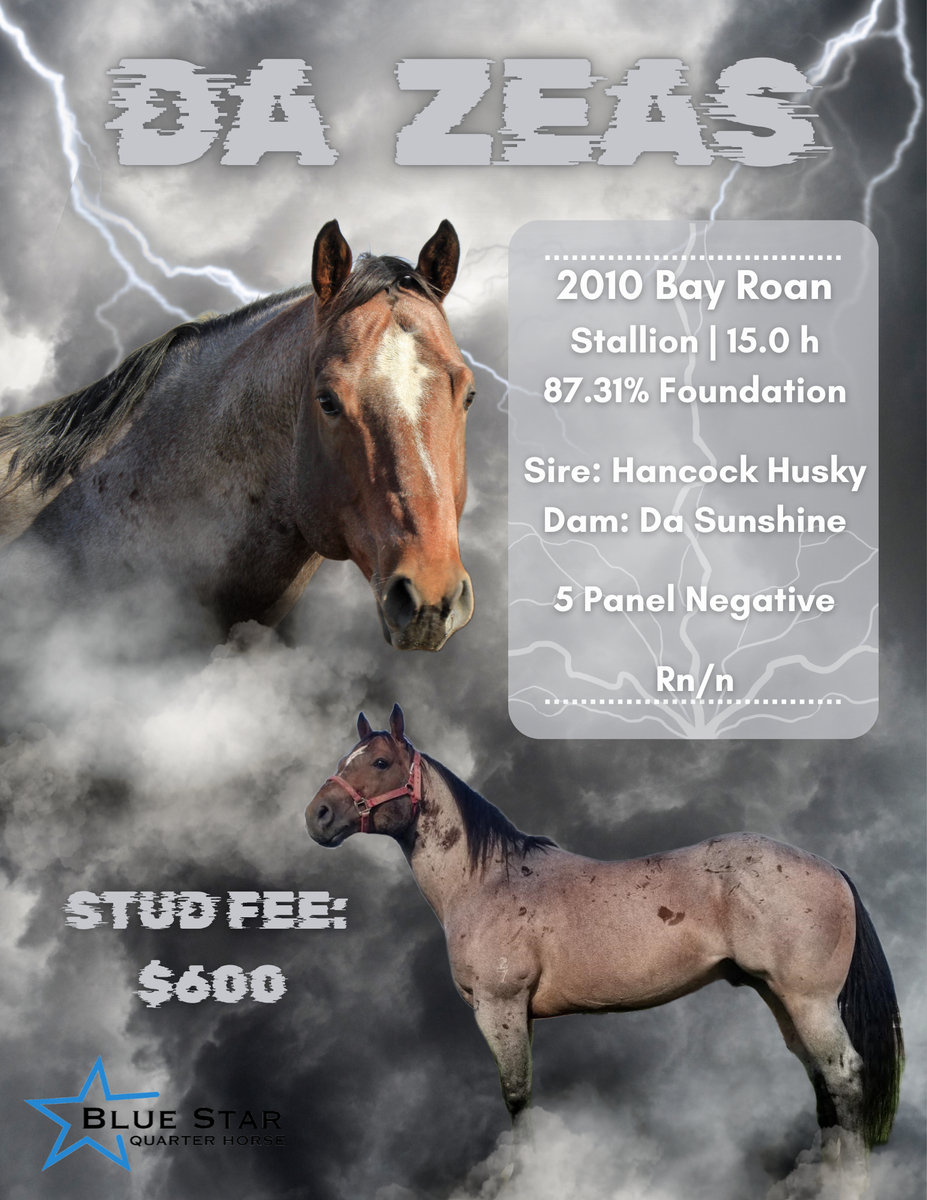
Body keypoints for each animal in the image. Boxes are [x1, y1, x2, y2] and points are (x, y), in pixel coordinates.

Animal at [305, 707, 904, 1185]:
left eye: (381, 762)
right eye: (346, 757)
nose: (318, 815)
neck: (487, 881)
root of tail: (829, 868)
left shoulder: (499, 1008)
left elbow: (516, 1097)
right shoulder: (519, 1015)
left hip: (809, 1001)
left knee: (844, 1076)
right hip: (780, 998)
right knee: (819, 1080)